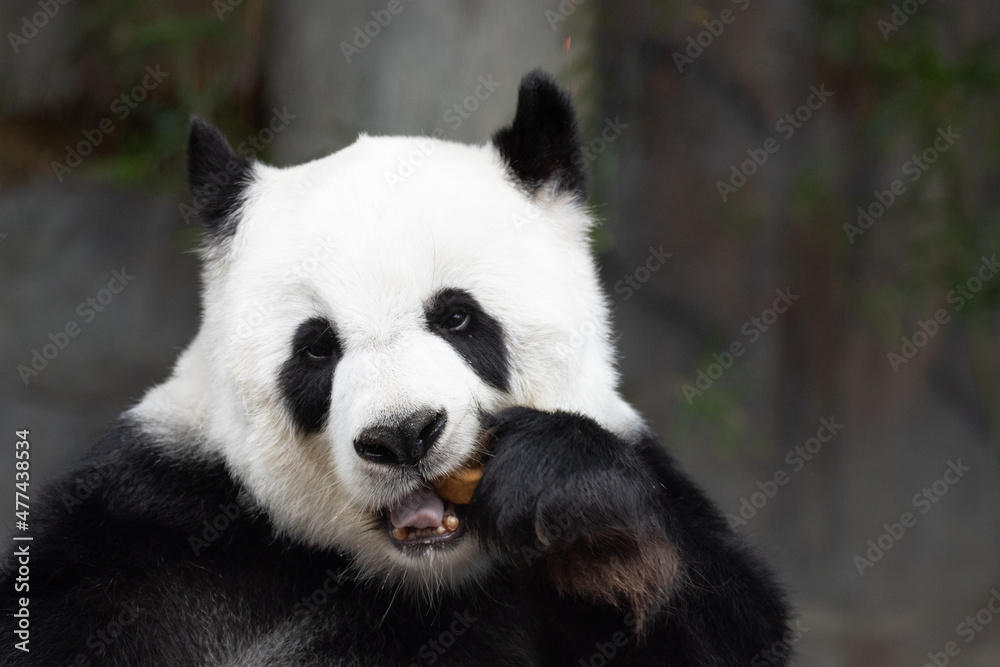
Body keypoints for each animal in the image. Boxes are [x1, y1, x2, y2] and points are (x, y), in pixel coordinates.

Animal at [2, 71, 790, 666]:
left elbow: (722, 623)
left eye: (457, 317)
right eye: (317, 348)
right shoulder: (148, 524)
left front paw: (572, 505)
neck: (410, 582)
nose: (405, 435)